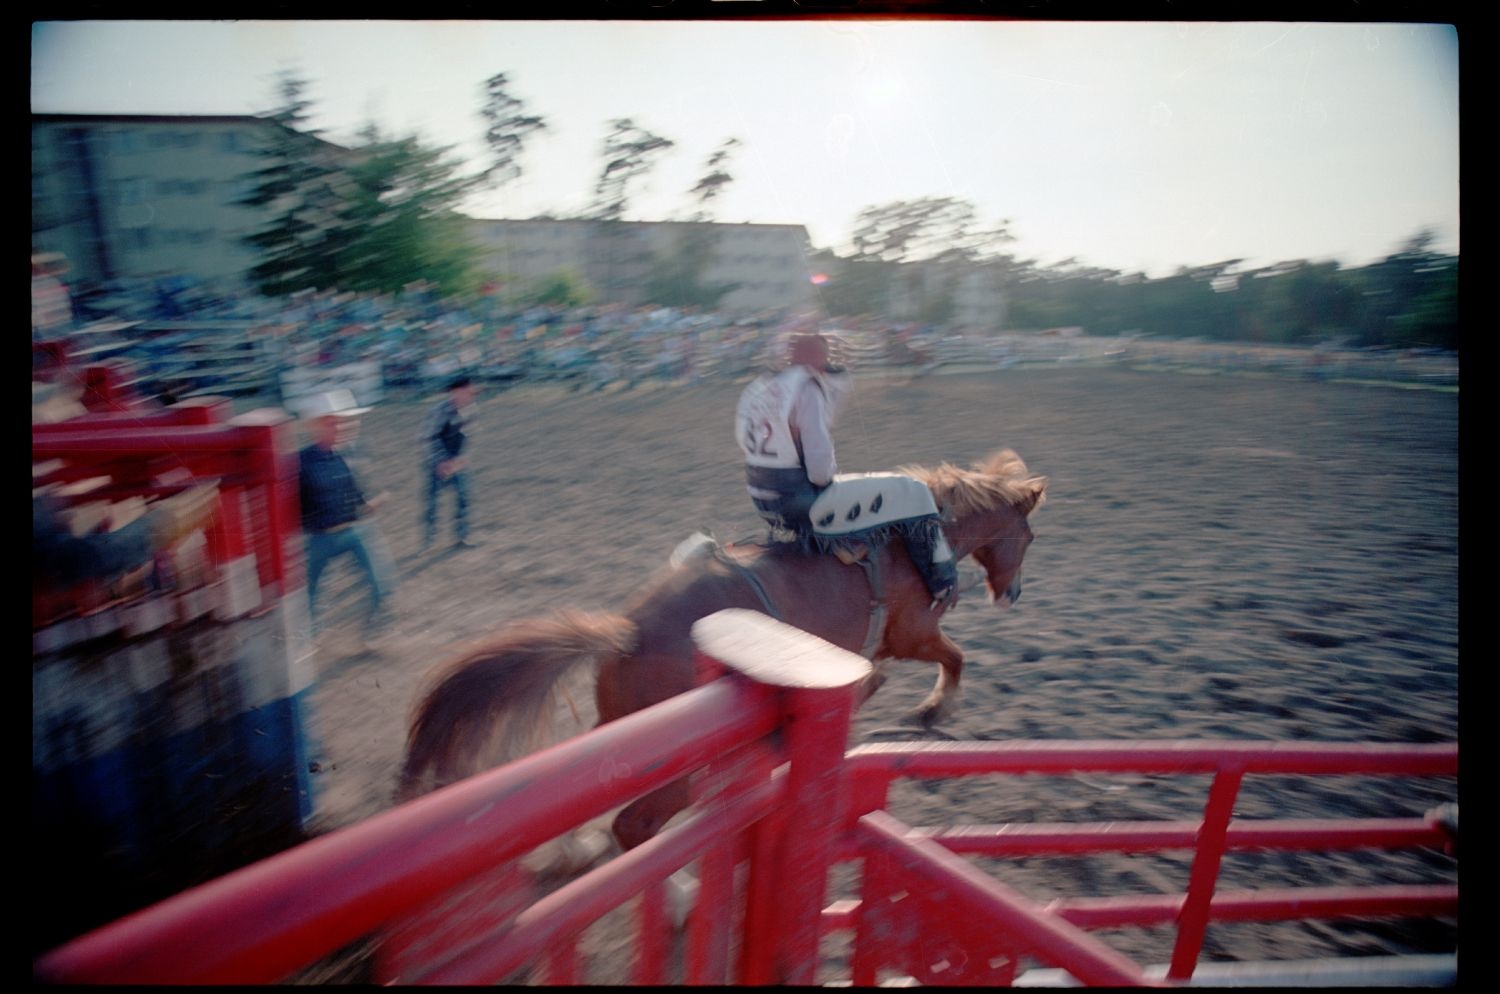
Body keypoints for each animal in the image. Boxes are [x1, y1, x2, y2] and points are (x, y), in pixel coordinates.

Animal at [405, 449, 1050, 845]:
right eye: (1030, 535)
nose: (1015, 592)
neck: (914, 540)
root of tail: (628, 633)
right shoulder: (913, 632)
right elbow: (953, 657)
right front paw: (934, 709)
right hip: (677, 756)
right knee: (637, 824)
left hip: (628, 732)